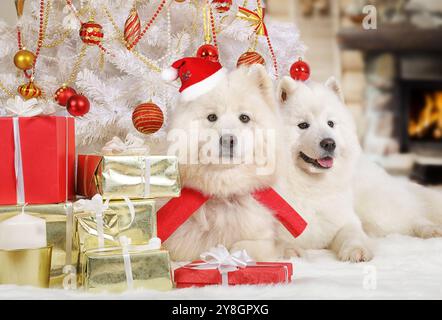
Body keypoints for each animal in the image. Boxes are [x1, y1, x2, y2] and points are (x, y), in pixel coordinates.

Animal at [164, 65, 288, 262]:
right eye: (212, 117)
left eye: (244, 118)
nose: (228, 139)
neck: (224, 191)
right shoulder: (179, 244)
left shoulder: (264, 238)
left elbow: (245, 246)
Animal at [276, 76, 442, 262]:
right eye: (303, 125)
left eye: (330, 123)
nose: (329, 143)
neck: (310, 185)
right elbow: (276, 240)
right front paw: (290, 251)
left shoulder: (345, 220)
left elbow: (352, 234)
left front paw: (357, 250)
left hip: (376, 209)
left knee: (412, 218)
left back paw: (431, 230)